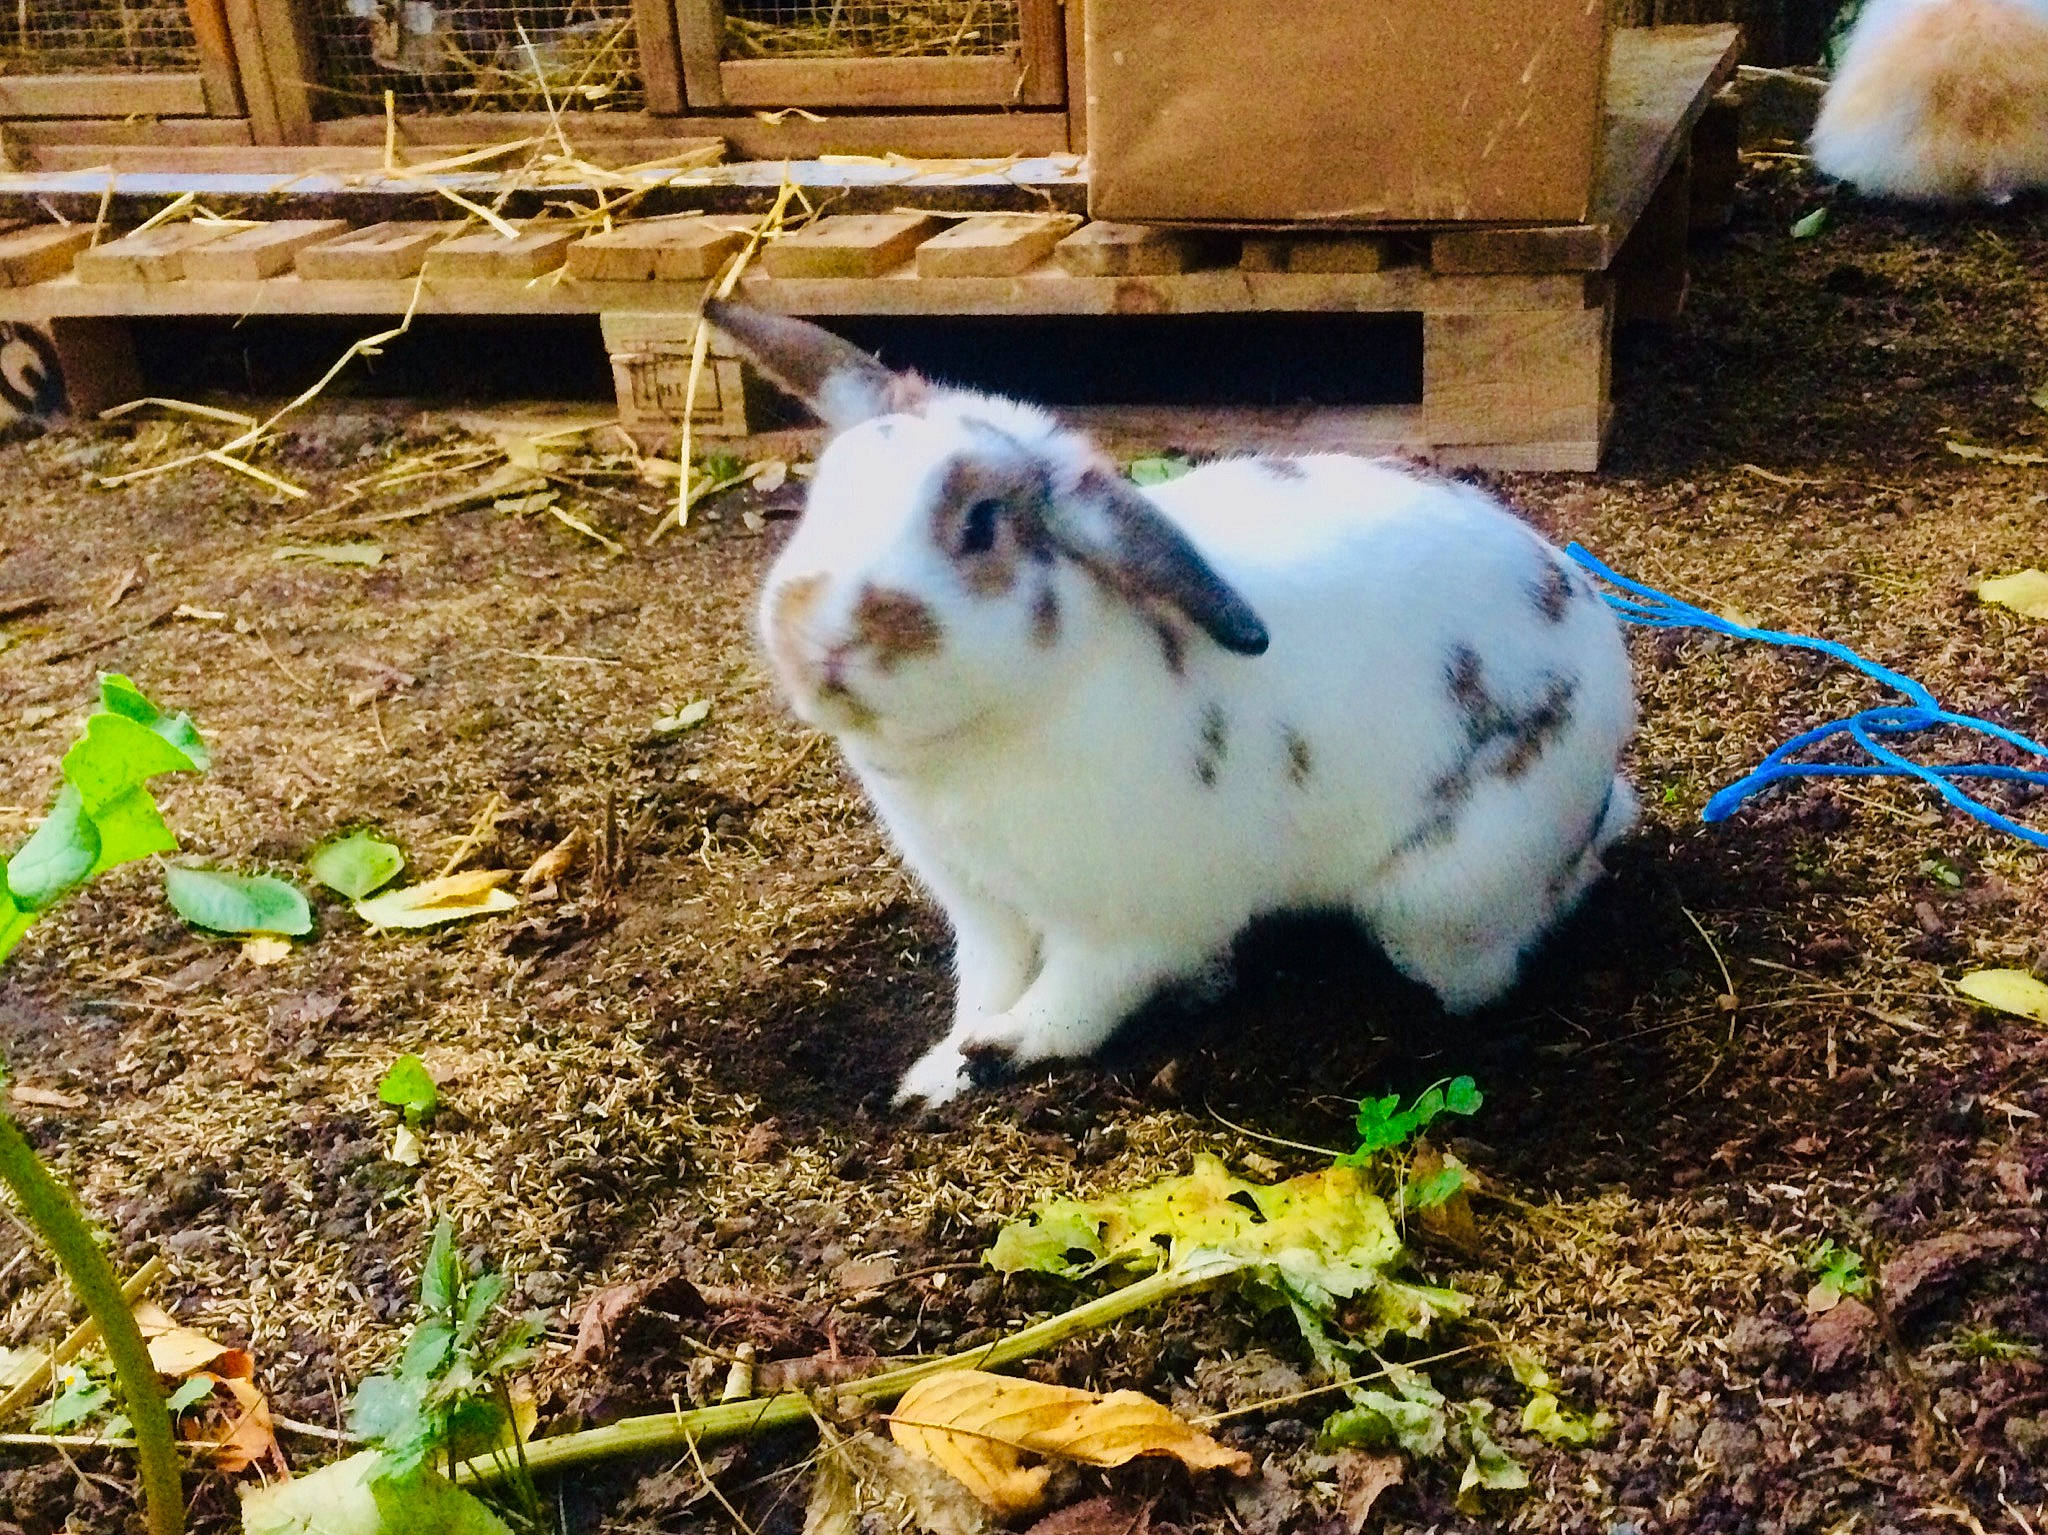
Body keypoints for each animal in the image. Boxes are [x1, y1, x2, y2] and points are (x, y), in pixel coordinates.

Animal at [705, 299, 1638, 1107]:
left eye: (980, 525)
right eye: (823, 494)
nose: (818, 640)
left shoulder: (1122, 925)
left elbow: (1069, 1005)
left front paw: (998, 1051)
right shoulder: (982, 905)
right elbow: (986, 984)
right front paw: (935, 1073)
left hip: (1444, 899)